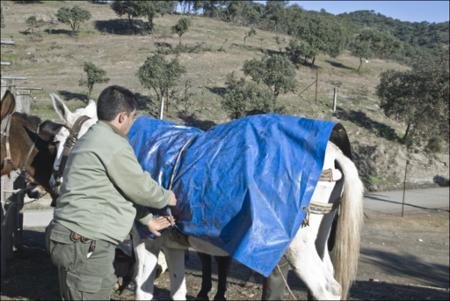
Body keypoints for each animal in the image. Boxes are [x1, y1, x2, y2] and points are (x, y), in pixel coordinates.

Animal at [50, 93, 366, 298]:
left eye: (62, 141)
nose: (54, 183)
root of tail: (333, 153)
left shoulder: (145, 240)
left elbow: (143, 288)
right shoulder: (173, 245)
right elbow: (177, 289)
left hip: (297, 248)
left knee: (326, 289)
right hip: (319, 240)